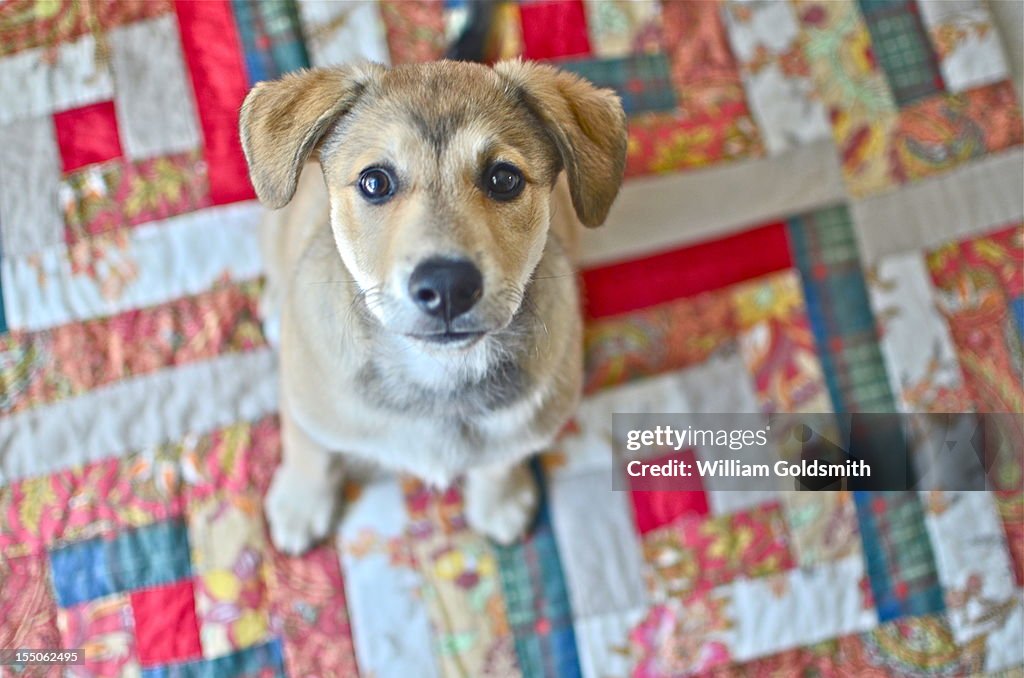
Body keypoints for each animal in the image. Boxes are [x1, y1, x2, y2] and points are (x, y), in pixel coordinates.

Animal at [239, 59, 626, 557]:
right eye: (375, 182)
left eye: (504, 179)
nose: (447, 286)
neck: (439, 373)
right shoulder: (305, 398)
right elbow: (308, 449)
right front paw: (300, 504)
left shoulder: (527, 422)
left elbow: (500, 459)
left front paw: (500, 501)